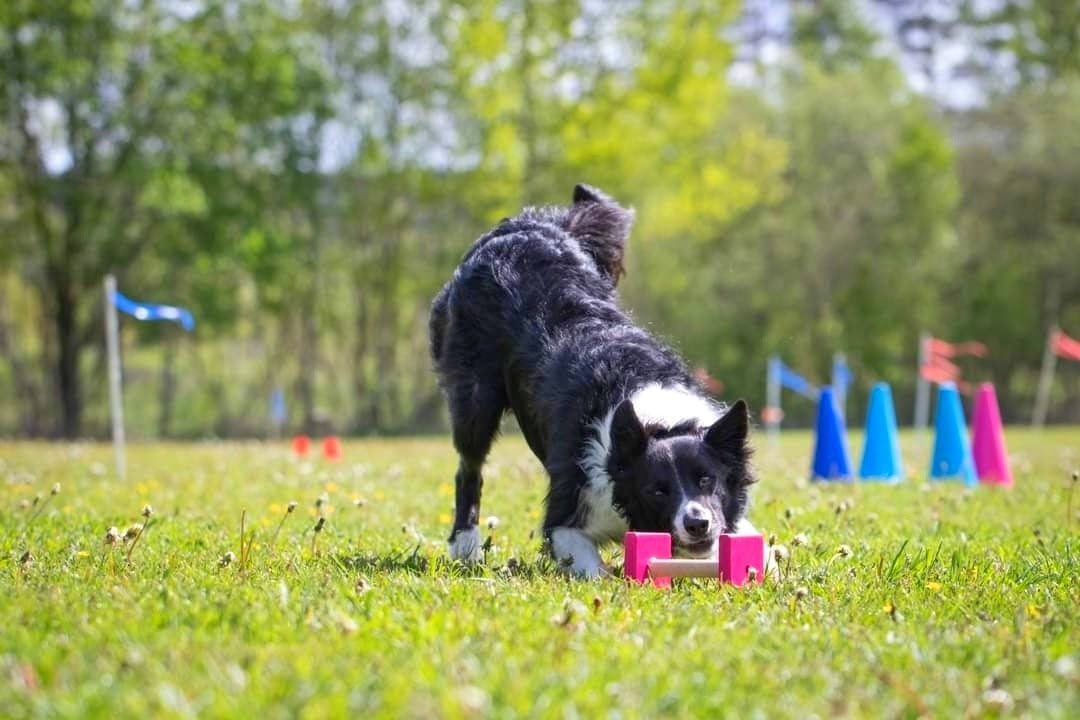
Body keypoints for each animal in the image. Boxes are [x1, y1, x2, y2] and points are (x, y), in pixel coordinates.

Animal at [425, 183, 756, 578]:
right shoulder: (568, 508)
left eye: (707, 479)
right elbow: (587, 561)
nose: (697, 524)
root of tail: (523, 226)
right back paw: (466, 544)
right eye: (657, 490)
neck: (653, 420)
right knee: (469, 467)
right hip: (475, 397)